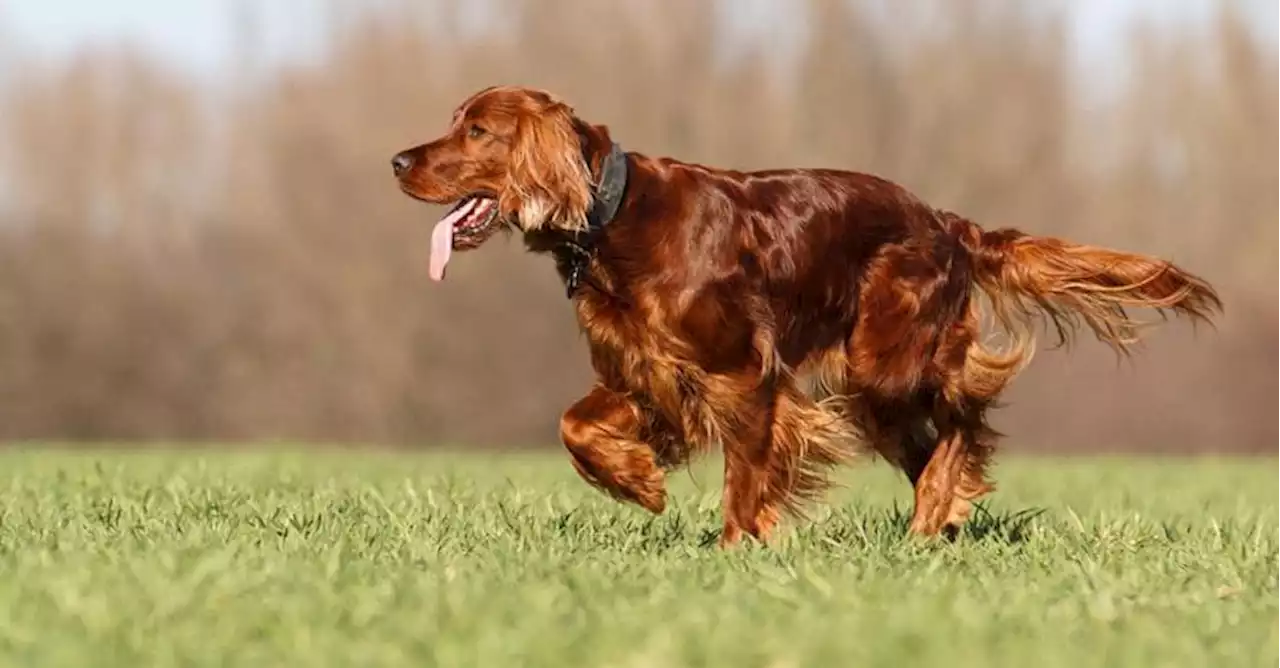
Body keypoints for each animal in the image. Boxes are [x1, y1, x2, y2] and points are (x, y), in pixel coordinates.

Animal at [389, 85, 1218, 542]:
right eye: (455, 121)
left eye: (477, 130)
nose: (396, 161)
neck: (614, 217)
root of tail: (947, 222)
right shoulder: (644, 375)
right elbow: (575, 426)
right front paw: (639, 483)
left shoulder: (744, 375)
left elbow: (745, 476)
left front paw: (736, 549)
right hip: (872, 387)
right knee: (931, 443)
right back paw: (940, 515)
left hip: (886, 360)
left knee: (965, 412)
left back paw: (936, 510)